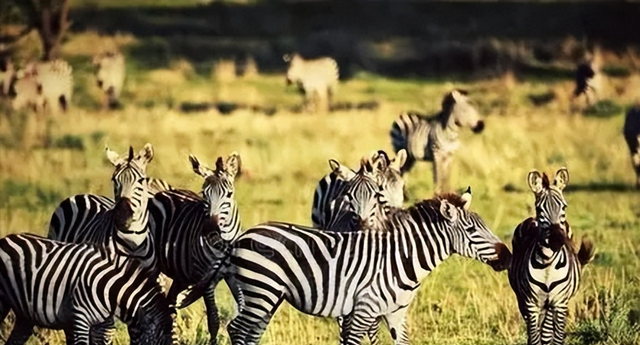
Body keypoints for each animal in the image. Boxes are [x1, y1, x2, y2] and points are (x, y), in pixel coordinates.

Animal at [0, 231, 175, 344]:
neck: (109, 290)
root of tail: (6, 238)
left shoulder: (101, 326)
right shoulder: (80, 319)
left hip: (24, 314)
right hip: (3, 302)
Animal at [149, 153, 244, 344]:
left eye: (229, 194)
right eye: (204, 195)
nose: (210, 231)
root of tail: (164, 192)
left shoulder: (232, 275)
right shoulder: (206, 279)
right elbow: (213, 320)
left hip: (180, 275)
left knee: (170, 304)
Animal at [225, 188, 510, 344]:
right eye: (472, 230)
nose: (508, 257)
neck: (401, 260)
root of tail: (244, 235)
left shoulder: (396, 314)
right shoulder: (363, 310)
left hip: (268, 296)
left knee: (252, 332)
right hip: (261, 291)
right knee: (237, 328)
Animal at [508, 168, 596, 342]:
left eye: (564, 207)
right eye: (539, 209)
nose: (557, 240)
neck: (548, 262)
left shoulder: (560, 303)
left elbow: (556, 337)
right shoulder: (531, 304)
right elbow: (535, 337)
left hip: (551, 304)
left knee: (547, 331)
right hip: (523, 300)